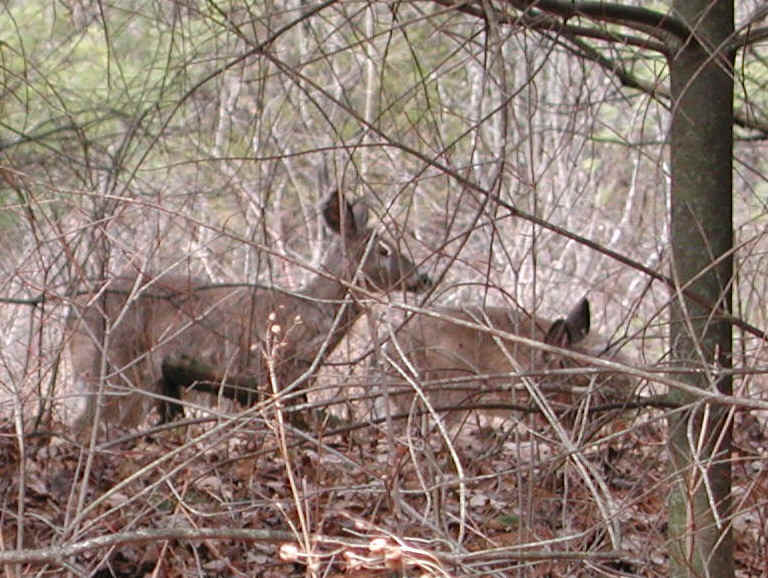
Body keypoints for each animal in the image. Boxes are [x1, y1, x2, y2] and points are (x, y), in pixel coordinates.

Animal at [67, 190, 433, 437]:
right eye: (383, 250)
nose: (423, 278)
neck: (310, 311)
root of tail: (72, 316)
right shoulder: (267, 376)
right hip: (116, 367)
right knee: (85, 425)